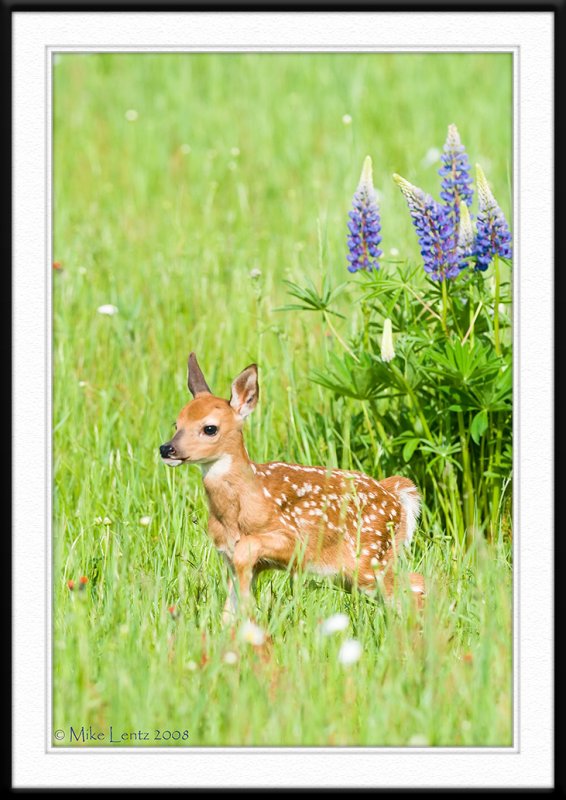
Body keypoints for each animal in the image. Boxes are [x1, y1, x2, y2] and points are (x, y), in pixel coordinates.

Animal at [160, 354, 426, 620]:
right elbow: (229, 607)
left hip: (369, 558)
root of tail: (395, 494)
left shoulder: (293, 539)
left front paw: (249, 612)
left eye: (210, 428)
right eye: (176, 424)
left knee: (416, 588)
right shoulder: (229, 556)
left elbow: (248, 549)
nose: (167, 449)